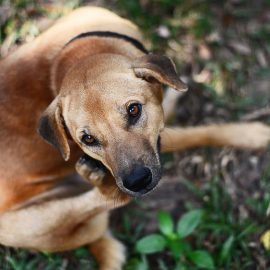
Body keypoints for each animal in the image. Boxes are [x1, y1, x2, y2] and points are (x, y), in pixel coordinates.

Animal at [0, 6, 270, 270]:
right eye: (87, 139)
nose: (137, 181)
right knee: (106, 201)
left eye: (134, 110)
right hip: (21, 224)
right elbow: (196, 133)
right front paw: (250, 134)